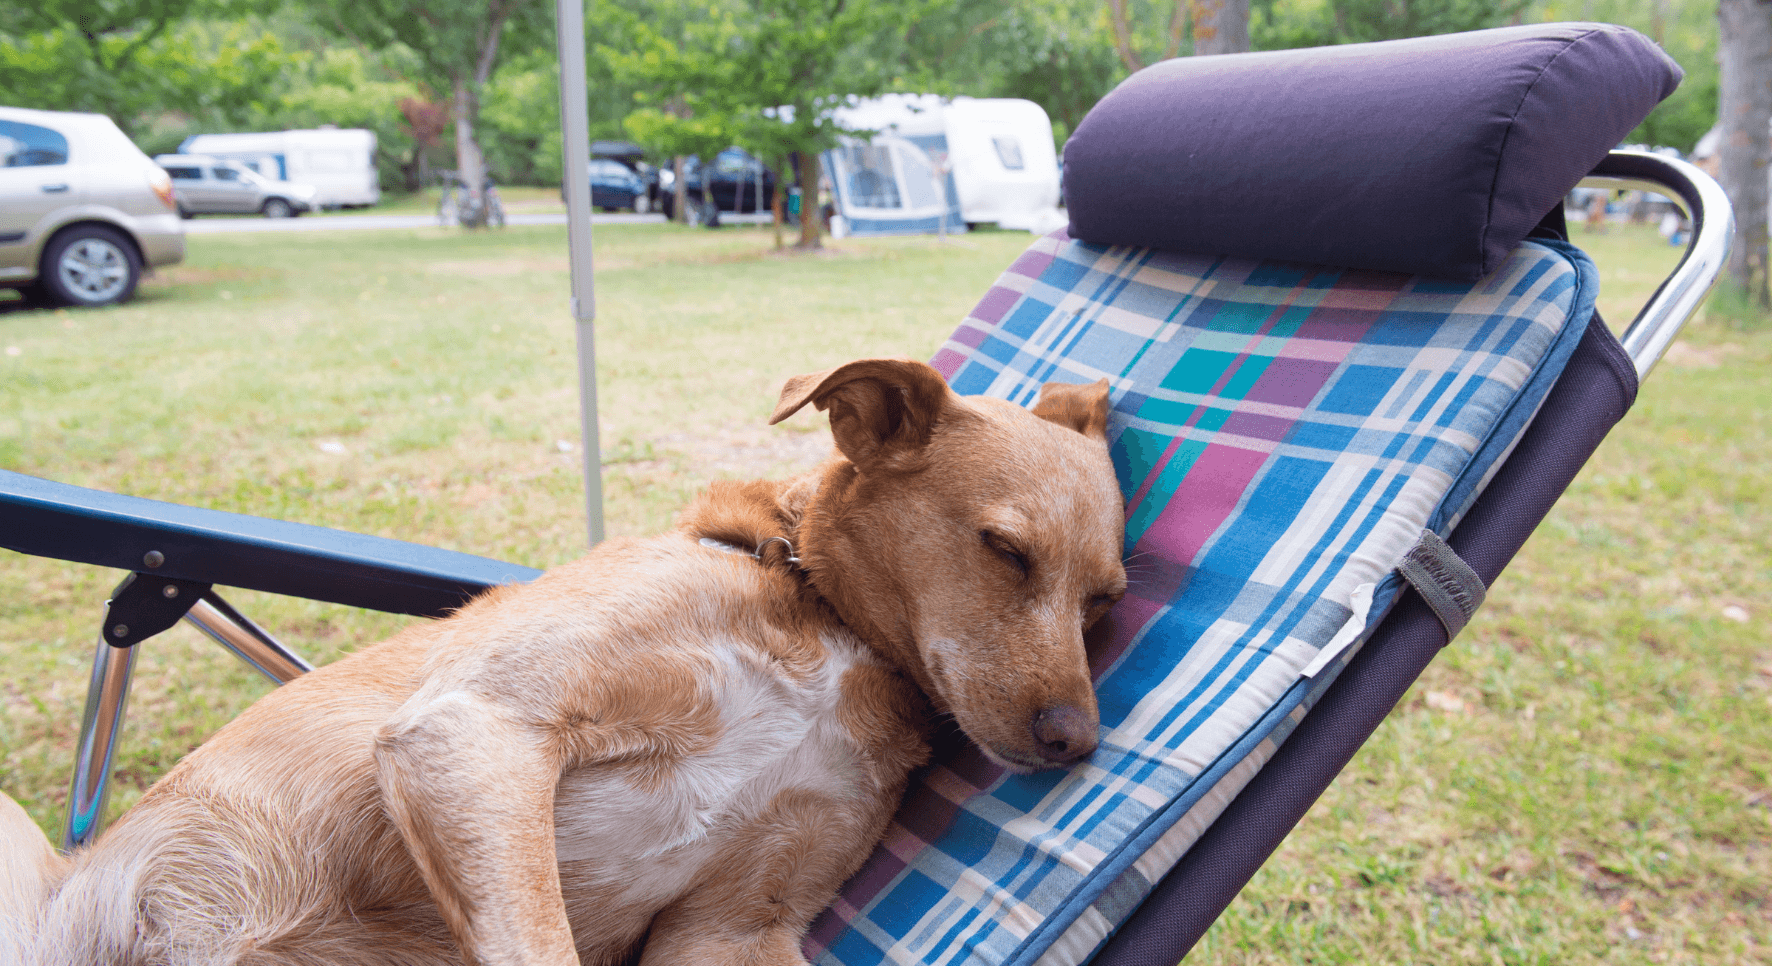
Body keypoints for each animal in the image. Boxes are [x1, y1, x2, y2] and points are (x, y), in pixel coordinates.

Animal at [6, 359, 1126, 964]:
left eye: (1105, 598)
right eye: (1005, 550)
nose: (1077, 744)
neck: (827, 621)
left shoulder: (731, 930)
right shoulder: (473, 730)